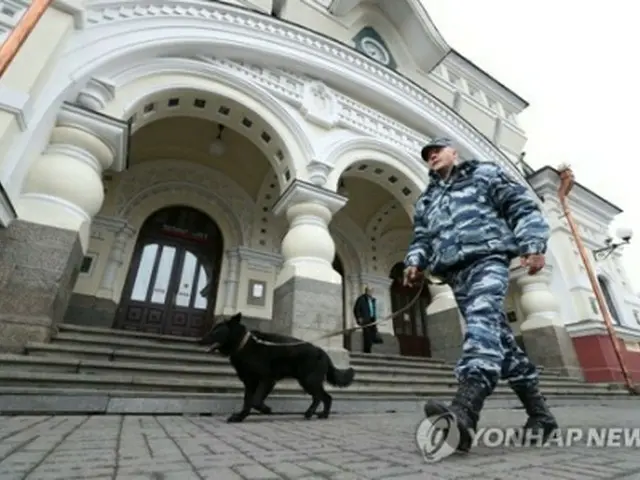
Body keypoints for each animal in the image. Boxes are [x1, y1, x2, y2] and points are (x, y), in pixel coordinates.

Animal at [198, 314, 356, 422]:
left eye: (216, 331)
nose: (199, 341)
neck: (243, 343)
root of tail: (322, 352)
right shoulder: (250, 383)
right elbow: (247, 402)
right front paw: (240, 417)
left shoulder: (267, 380)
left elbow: (255, 401)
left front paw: (266, 409)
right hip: (308, 381)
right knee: (322, 397)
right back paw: (316, 413)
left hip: (308, 381)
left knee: (323, 397)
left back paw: (318, 414)